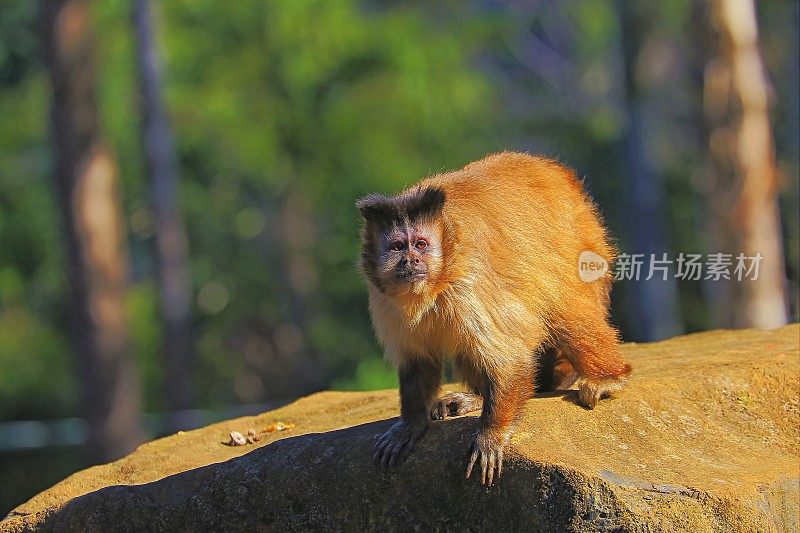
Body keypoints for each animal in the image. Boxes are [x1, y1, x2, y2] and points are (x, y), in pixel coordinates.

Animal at [356, 151, 632, 486]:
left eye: (421, 244)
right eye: (398, 247)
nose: (411, 261)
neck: (437, 284)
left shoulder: (468, 282)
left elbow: (510, 359)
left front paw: (492, 434)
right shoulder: (385, 298)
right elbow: (417, 362)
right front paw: (410, 424)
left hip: (586, 248)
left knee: (567, 311)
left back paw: (608, 379)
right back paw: (474, 400)